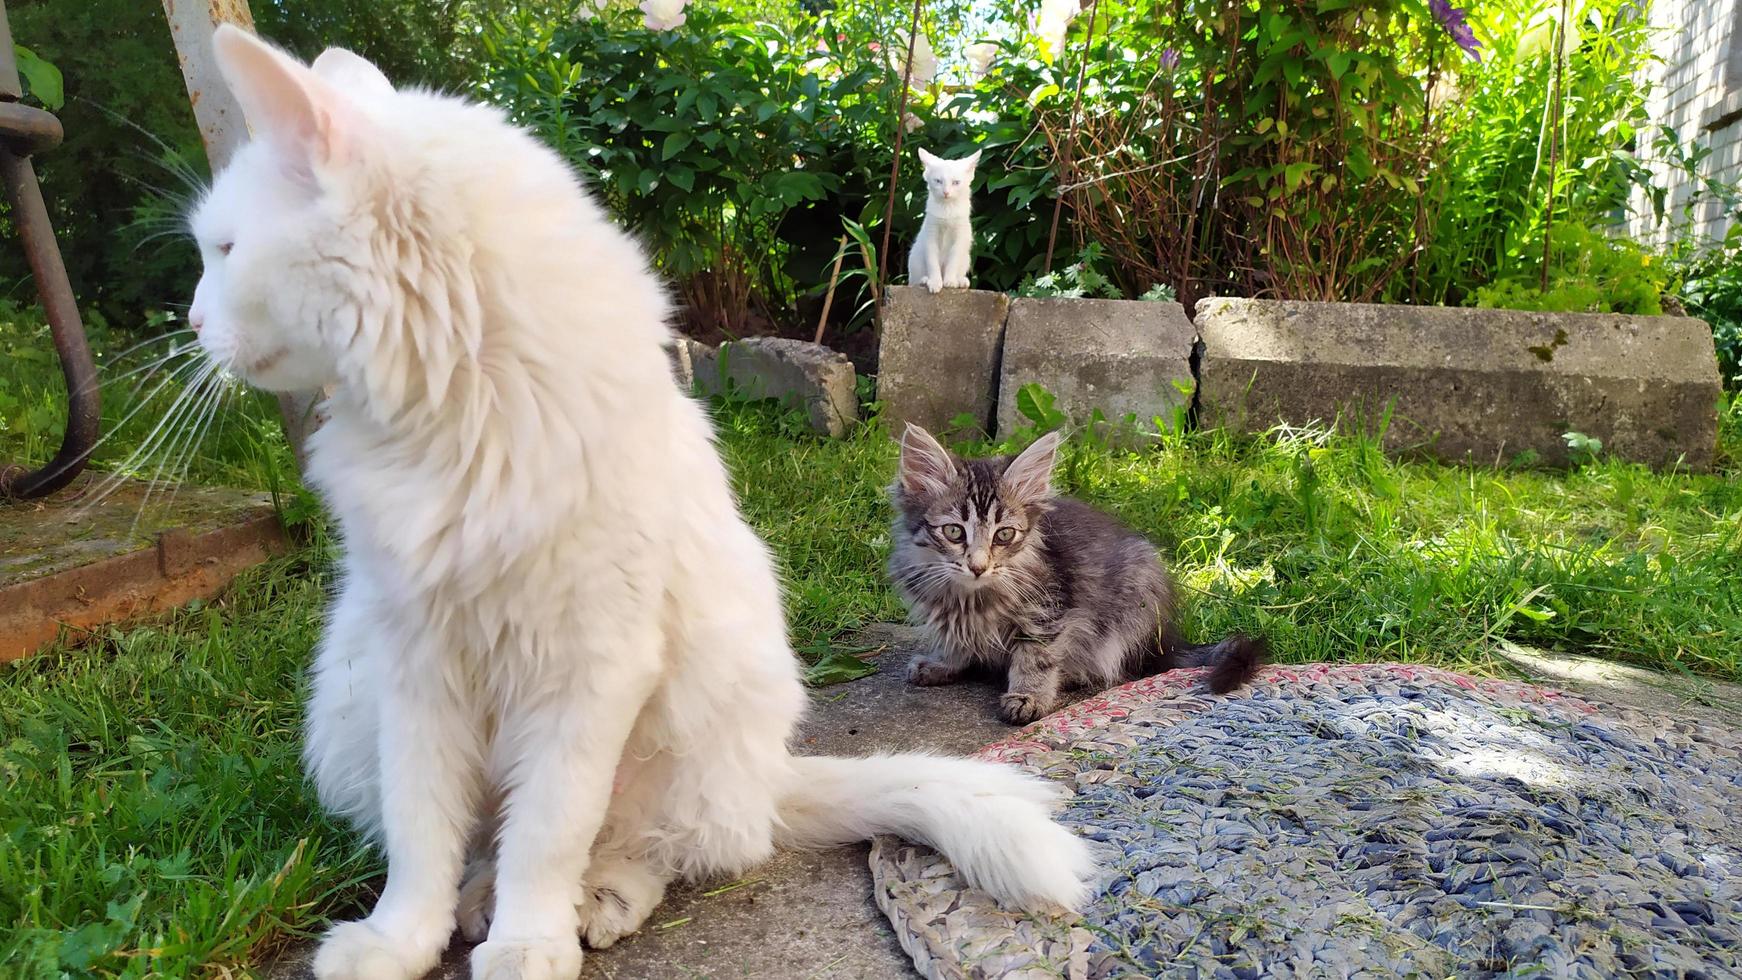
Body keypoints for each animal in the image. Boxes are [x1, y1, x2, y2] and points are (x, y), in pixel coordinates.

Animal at [891, 426, 1261, 724]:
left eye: (1004, 535)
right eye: (954, 532)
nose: (978, 567)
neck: (970, 597)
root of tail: (1164, 639)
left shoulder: (1049, 610)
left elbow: (1036, 657)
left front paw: (1029, 696)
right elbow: (955, 639)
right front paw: (943, 662)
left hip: (1135, 597)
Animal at [912, 145, 982, 290]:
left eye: (956, 182)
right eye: (938, 181)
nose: (946, 192)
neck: (947, 209)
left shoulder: (960, 236)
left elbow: (954, 259)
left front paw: (950, 281)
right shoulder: (930, 234)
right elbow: (932, 260)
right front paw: (935, 282)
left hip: (966, 256)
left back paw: (960, 280)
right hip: (915, 257)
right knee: (915, 279)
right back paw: (924, 280)